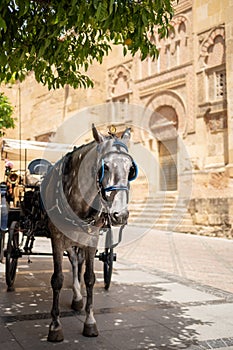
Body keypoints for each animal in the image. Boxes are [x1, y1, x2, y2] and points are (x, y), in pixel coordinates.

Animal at [40, 123, 137, 342]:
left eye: (130, 169)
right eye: (105, 167)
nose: (120, 215)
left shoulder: (91, 240)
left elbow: (90, 278)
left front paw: (90, 322)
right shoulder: (57, 239)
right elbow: (57, 280)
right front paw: (55, 326)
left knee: (77, 262)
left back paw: (77, 297)